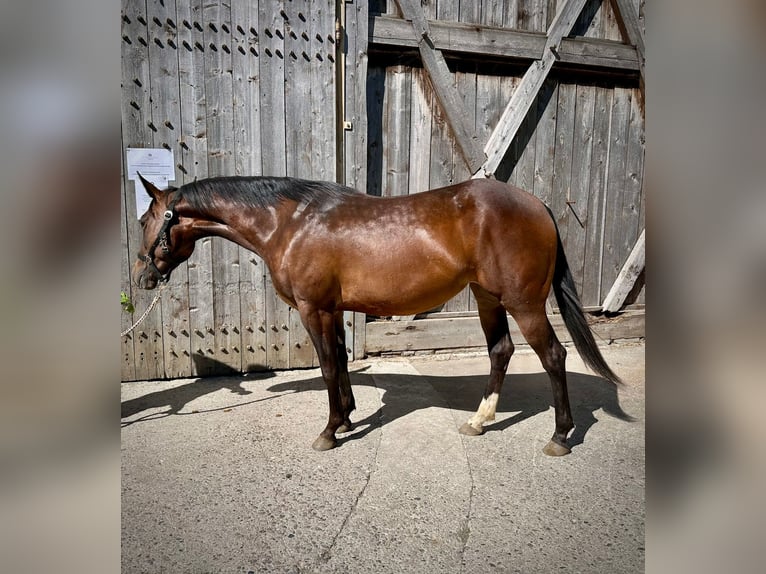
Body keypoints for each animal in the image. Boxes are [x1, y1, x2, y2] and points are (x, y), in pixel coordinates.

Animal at [132, 174, 622, 455]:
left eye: (143, 220)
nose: (140, 277)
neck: (290, 223)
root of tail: (538, 205)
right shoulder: (333, 310)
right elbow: (340, 362)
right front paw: (348, 417)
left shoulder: (314, 308)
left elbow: (329, 367)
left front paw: (330, 431)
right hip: (487, 297)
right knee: (500, 351)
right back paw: (479, 421)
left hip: (523, 303)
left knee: (554, 356)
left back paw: (559, 437)